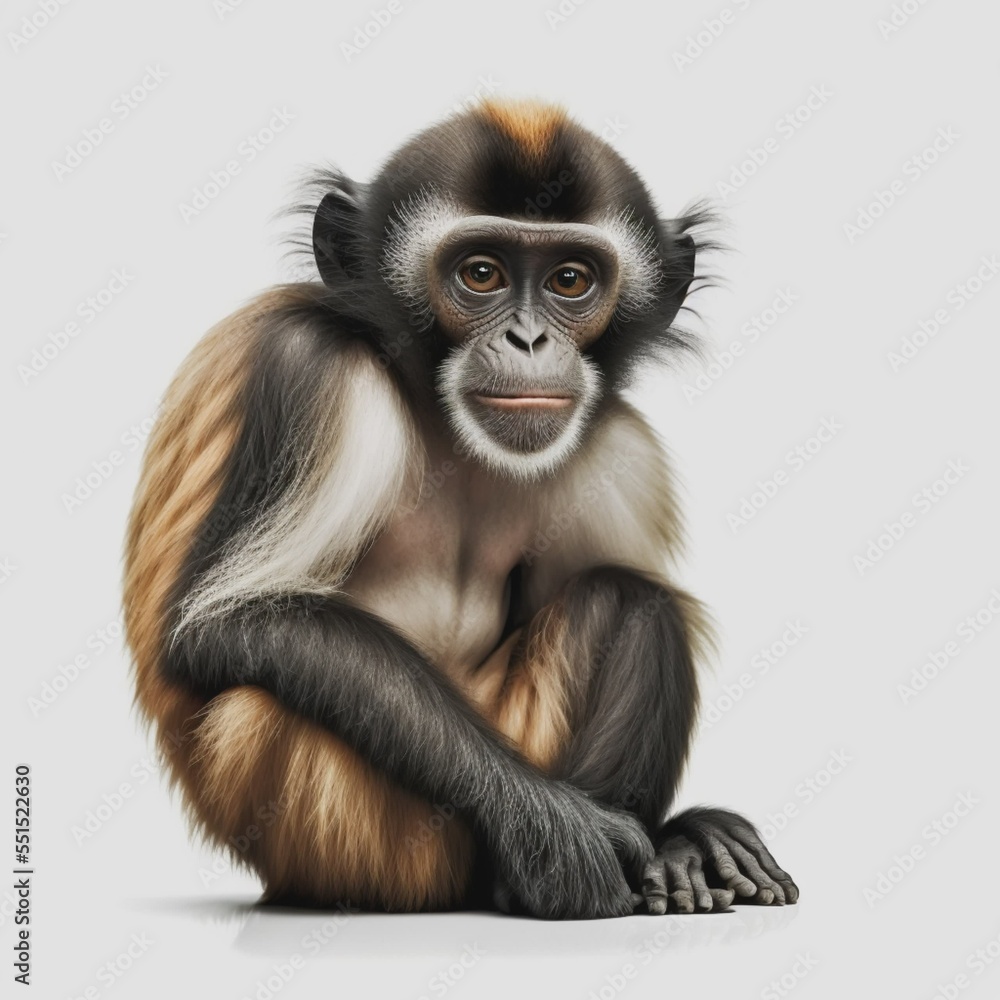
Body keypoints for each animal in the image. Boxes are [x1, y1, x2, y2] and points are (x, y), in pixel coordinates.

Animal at [123, 99, 798, 920]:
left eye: (570, 280)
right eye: (481, 273)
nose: (529, 338)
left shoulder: (618, 450)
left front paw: (666, 840)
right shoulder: (309, 371)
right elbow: (227, 624)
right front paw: (554, 828)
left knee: (633, 603)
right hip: (356, 834)